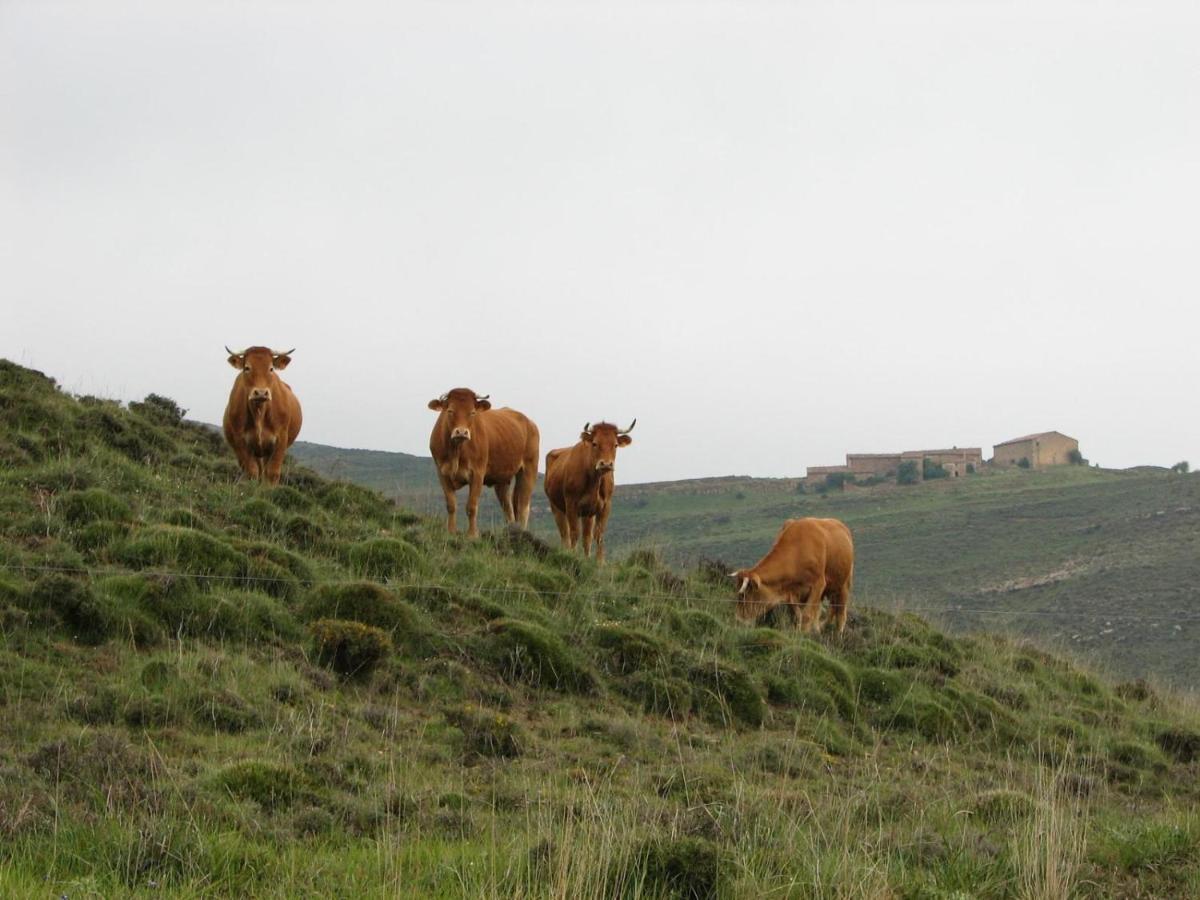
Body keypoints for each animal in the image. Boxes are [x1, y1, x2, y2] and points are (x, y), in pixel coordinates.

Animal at [222, 348, 304, 487]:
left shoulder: (281, 440)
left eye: (271, 368)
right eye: (247, 368)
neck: (259, 412)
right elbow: (252, 471)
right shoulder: (241, 441)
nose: (261, 393)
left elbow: (272, 473)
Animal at [427, 388, 540, 542]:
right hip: (502, 479)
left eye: (472, 412)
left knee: (523, 506)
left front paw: (472, 535)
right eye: (450, 411)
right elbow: (451, 505)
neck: (456, 452)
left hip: (529, 469)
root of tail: (529, 422)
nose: (461, 432)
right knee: (508, 508)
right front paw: (451, 531)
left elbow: (471, 506)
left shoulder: (477, 473)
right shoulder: (442, 473)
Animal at [547, 422, 638, 564]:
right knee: (565, 534)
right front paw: (573, 556)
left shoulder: (605, 506)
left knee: (587, 537)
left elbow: (598, 534)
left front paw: (600, 561)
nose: (606, 464)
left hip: (588, 514)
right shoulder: (571, 504)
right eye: (595, 443)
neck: (594, 482)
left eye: (615, 445)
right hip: (556, 507)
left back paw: (587, 557)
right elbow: (574, 532)